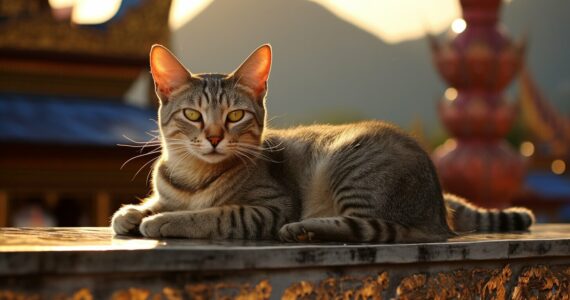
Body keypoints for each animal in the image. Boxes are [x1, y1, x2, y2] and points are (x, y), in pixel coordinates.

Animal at [111, 43, 532, 243]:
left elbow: (212, 215)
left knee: (371, 227)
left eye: (235, 116)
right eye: (193, 115)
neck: (192, 175)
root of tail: (437, 214)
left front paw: (161, 220)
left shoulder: (269, 207)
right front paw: (135, 212)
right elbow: (144, 205)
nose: (214, 138)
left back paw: (303, 229)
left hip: (351, 165)